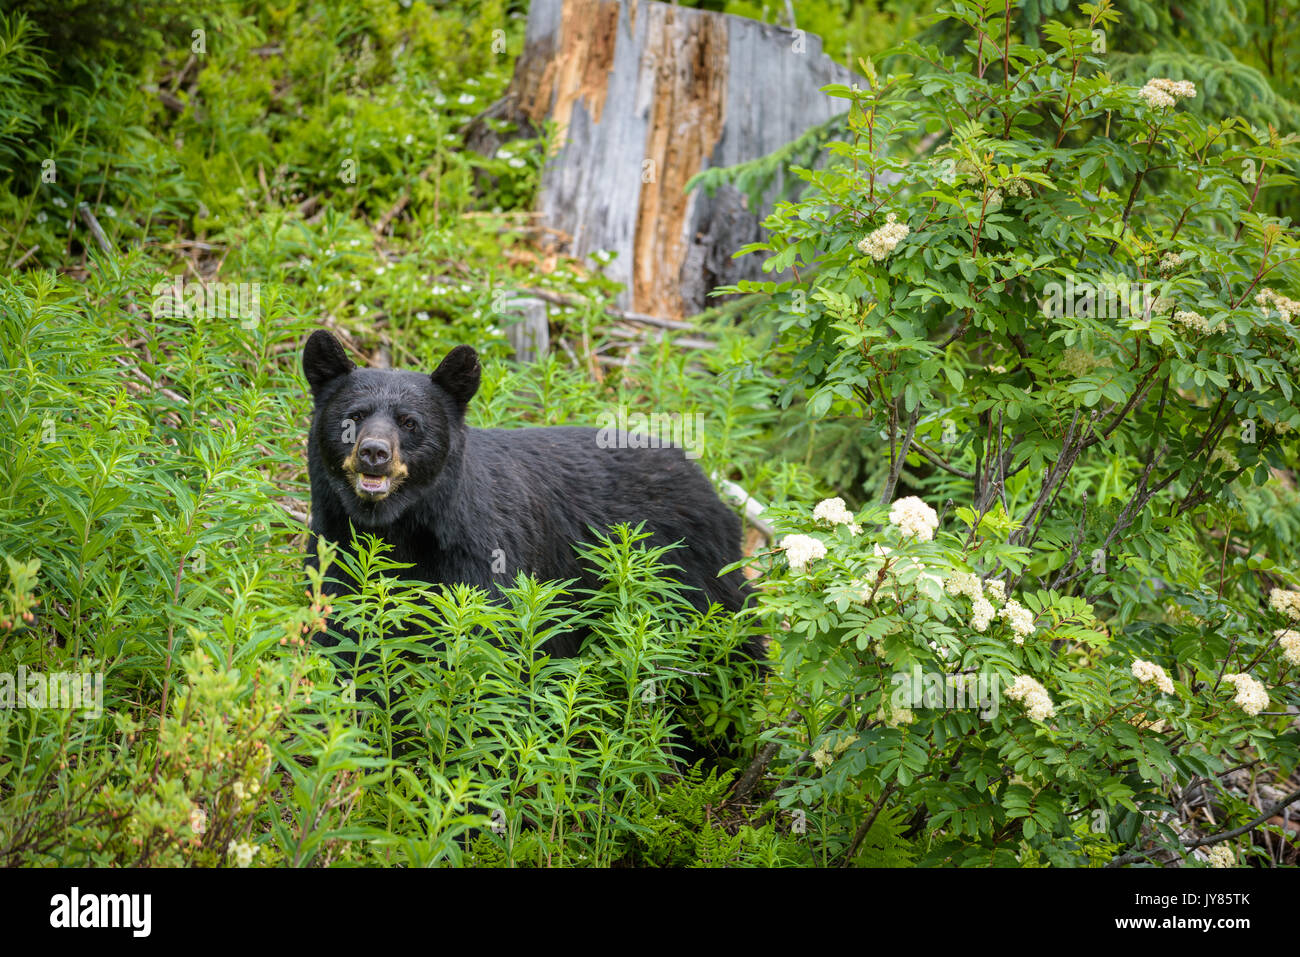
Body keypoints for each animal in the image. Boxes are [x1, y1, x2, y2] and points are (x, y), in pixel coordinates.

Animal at [300, 330, 759, 657]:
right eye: (353, 417)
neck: (399, 526)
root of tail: (705, 479)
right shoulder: (334, 547)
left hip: (694, 576)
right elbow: (337, 634)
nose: (374, 453)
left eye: (410, 422)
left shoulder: (484, 555)